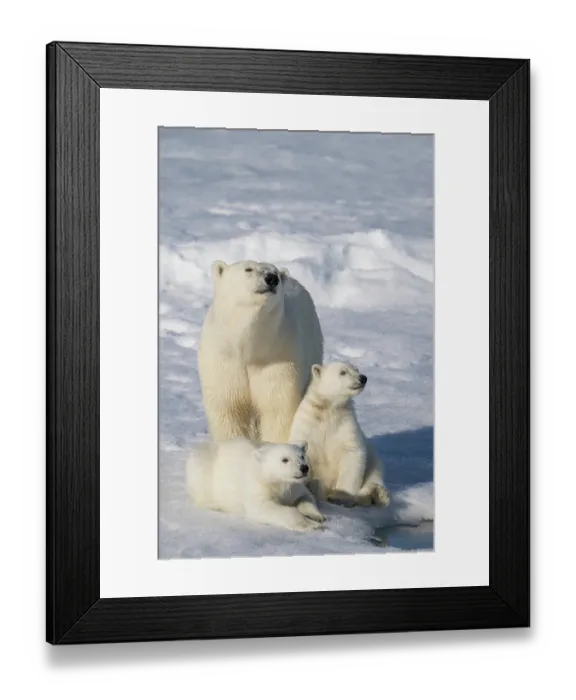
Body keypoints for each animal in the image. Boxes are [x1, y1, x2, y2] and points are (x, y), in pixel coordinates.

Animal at [186, 437, 326, 532]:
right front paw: (310, 525)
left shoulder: (295, 486)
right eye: (285, 459)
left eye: (302, 456)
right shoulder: (258, 486)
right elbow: (262, 507)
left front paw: (317, 517)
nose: (304, 468)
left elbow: (305, 497)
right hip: (203, 465)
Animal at [197, 260, 323, 444]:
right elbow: (229, 411)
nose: (272, 279)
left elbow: (277, 410)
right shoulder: (223, 362)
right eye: (248, 269)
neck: (249, 350)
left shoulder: (279, 359)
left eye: (275, 272)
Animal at [288, 361, 390, 508]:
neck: (328, 409)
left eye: (357, 369)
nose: (363, 378)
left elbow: (352, 453)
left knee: (375, 473)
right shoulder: (307, 425)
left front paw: (339, 497)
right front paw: (311, 488)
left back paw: (378, 495)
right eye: (343, 372)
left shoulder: (346, 424)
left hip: (373, 459)